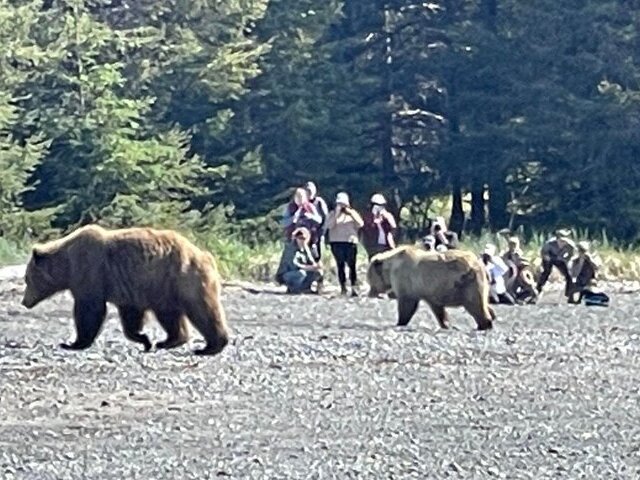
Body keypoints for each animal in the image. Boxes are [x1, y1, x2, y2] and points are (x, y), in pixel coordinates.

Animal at [20, 223, 230, 354]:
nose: (24, 302)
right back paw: (169, 341)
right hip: (163, 288)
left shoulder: (90, 271)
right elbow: (131, 316)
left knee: (203, 310)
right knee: (169, 314)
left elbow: (89, 309)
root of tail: (204, 254)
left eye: (27, 278)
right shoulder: (128, 287)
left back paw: (210, 346)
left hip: (183, 278)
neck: (66, 265)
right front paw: (144, 340)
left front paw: (73, 343)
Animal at [364, 244, 496, 330]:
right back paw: (491, 316)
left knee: (475, 304)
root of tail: (479, 264)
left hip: (467, 283)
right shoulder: (430, 291)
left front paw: (400, 322)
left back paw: (484, 324)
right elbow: (438, 309)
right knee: (482, 302)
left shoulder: (406, 280)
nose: (370, 293)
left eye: (369, 279)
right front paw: (446, 324)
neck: (390, 269)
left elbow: (407, 304)